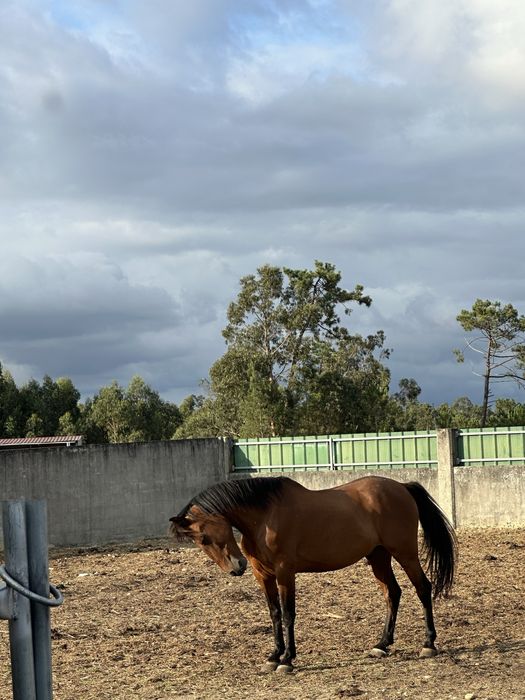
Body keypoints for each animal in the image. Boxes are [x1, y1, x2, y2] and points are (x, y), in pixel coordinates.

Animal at [170, 475, 457, 673]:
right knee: (392, 593)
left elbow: (288, 614)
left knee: (423, 588)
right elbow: (274, 614)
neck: (264, 517)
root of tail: (401, 487)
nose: (235, 567)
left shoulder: (285, 572)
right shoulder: (263, 575)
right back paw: (382, 644)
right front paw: (273, 656)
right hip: (378, 556)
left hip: (404, 552)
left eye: (204, 538)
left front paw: (287, 660)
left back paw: (428, 644)